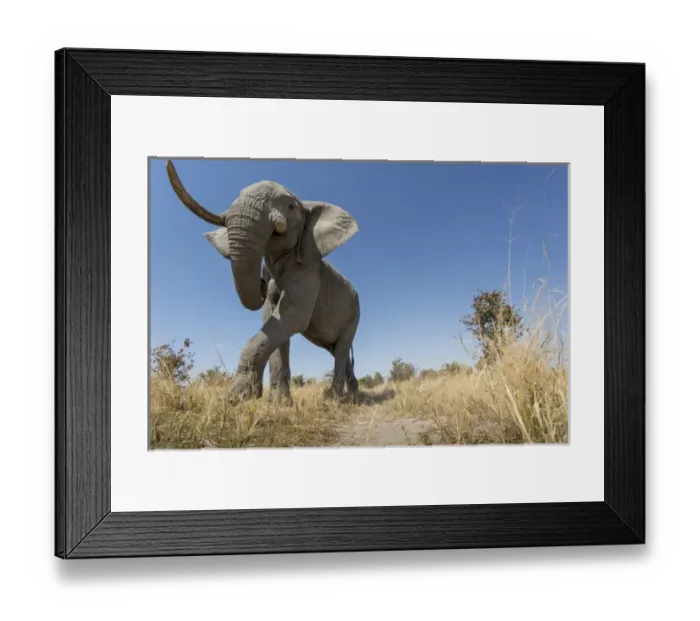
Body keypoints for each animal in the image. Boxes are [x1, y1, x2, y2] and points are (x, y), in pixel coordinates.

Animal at [165, 160, 361, 403]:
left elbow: (291, 316)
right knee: (337, 350)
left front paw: (235, 398)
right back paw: (352, 395)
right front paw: (279, 403)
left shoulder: (308, 269)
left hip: (354, 314)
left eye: (291, 206)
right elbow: (272, 318)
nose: (261, 282)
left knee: (342, 348)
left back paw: (334, 400)